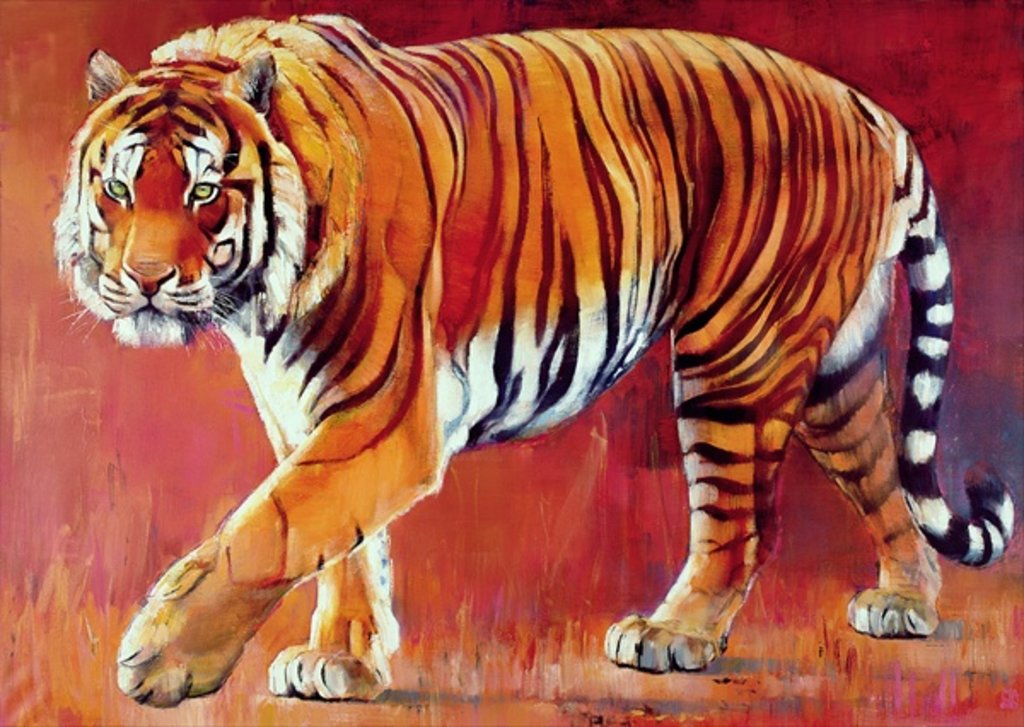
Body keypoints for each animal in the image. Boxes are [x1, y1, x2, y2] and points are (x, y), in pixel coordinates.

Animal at [54, 14, 1015, 707]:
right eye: (120, 186)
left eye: (205, 190)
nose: (144, 280)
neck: (261, 294)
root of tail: (865, 107)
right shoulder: (306, 411)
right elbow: (342, 546)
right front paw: (343, 660)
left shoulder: (383, 414)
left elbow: (267, 530)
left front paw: (161, 658)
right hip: (832, 372)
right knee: (884, 475)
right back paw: (905, 603)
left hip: (735, 354)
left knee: (742, 525)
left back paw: (673, 634)